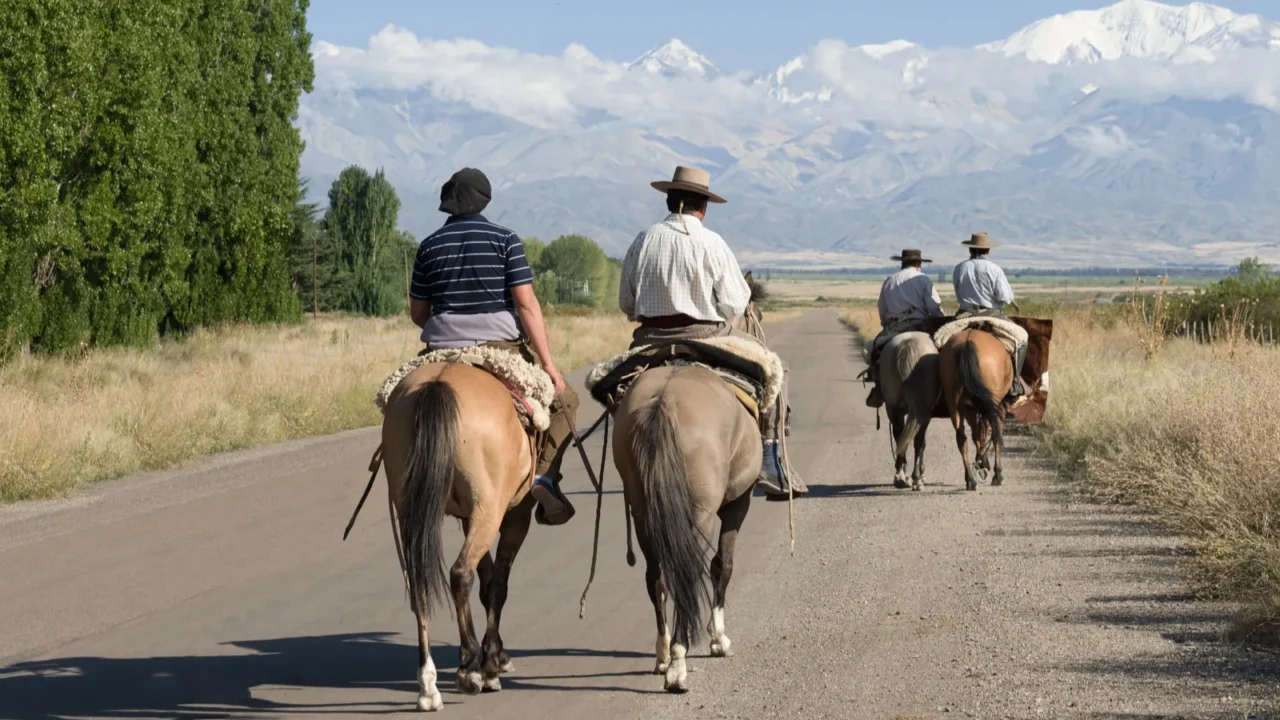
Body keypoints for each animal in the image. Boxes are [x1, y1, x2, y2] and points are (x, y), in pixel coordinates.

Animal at [380, 360, 542, 711]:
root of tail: (438, 384)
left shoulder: (469, 518)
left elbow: (488, 581)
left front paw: (495, 655)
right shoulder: (514, 514)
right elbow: (497, 584)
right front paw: (493, 661)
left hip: (412, 508)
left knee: (420, 585)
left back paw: (428, 686)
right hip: (488, 510)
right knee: (460, 573)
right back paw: (470, 669)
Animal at [610, 279, 772, 693]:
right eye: (758, 316)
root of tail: (664, 400)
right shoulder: (739, 501)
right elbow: (722, 565)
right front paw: (719, 639)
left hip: (644, 511)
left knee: (657, 577)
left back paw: (664, 654)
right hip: (698, 512)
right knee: (689, 570)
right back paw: (679, 667)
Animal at [878, 331, 940, 491]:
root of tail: (907, 345)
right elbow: (922, 443)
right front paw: (921, 476)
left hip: (893, 407)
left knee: (899, 436)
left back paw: (901, 477)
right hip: (923, 411)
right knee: (917, 441)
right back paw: (916, 478)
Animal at [938, 328, 1013, 491]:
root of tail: (968, 342)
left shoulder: (970, 409)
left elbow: (976, 433)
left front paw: (981, 461)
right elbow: (987, 431)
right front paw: (989, 466)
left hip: (955, 404)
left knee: (962, 439)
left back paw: (971, 480)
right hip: (992, 403)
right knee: (995, 433)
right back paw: (996, 475)